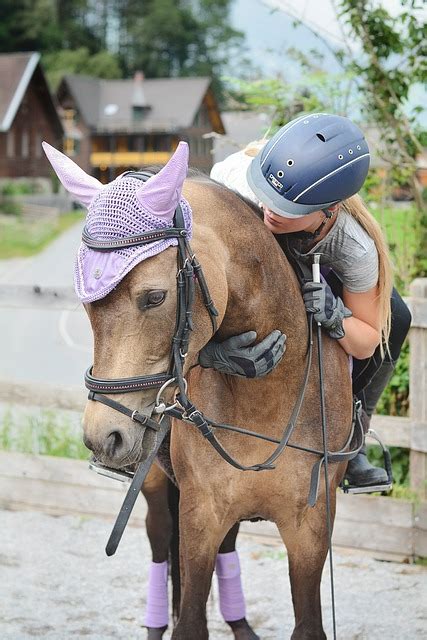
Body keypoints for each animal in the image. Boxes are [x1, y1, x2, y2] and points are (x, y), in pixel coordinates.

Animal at [44, 141, 354, 640]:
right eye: (87, 304)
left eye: (154, 297)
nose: (104, 435)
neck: (268, 401)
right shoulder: (199, 516)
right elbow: (189, 617)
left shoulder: (311, 527)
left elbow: (307, 623)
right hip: (155, 488)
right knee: (160, 547)